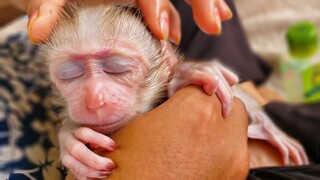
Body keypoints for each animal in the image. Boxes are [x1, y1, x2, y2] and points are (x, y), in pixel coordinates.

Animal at [41, 1, 308, 180]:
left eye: (117, 68)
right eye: (69, 74)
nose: (94, 100)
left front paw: (186, 73)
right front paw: (72, 141)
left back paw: (269, 129)